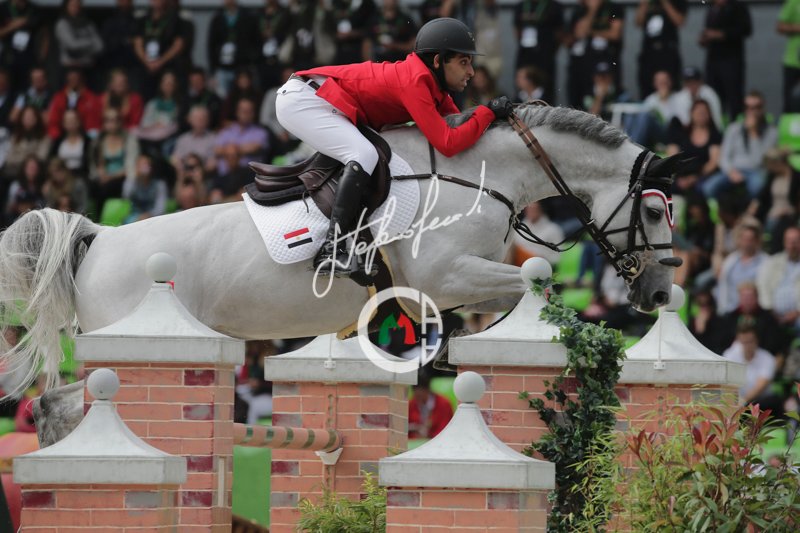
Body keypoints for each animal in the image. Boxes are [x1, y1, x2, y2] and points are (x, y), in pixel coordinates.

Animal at [0, 104, 682, 393]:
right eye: (652, 211)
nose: (658, 292)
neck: (478, 173)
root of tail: (102, 239)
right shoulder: (445, 276)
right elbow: (532, 281)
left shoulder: (458, 279)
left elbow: (517, 287)